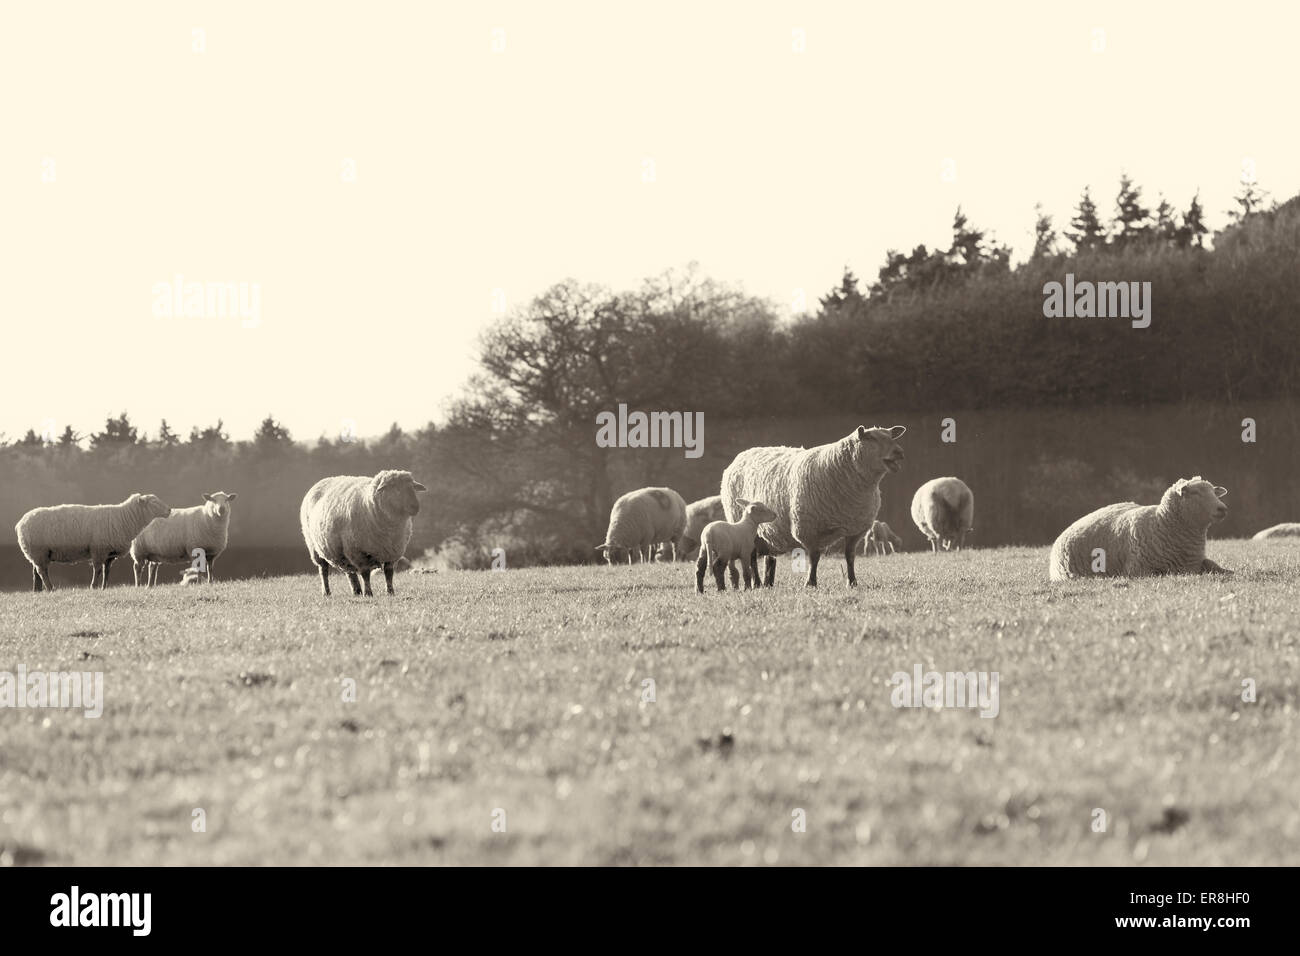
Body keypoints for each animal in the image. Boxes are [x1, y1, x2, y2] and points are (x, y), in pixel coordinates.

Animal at [15, 494, 171, 590]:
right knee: (42, 572)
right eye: (154, 502)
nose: (169, 510)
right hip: (39, 551)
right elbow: (97, 570)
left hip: (38, 554)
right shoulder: (98, 550)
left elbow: (106, 571)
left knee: (36, 572)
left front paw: (104, 587)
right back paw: (50, 588)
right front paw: (94, 586)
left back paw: (38, 590)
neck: (123, 518)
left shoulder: (109, 554)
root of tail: (20, 523)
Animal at [717, 424, 909, 587]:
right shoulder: (808, 528)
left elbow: (850, 556)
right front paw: (811, 583)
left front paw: (852, 582)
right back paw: (757, 583)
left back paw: (768, 583)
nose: (900, 452)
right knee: (751, 557)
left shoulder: (856, 530)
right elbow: (814, 558)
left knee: (768, 558)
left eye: (891, 436)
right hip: (744, 526)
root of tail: (743, 454)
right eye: (872, 439)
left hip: (769, 533)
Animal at [1045, 476, 1227, 580]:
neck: (1161, 524)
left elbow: (1213, 565)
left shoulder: (1194, 563)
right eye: (1195, 493)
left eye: (1214, 491)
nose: (1222, 508)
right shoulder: (1138, 570)